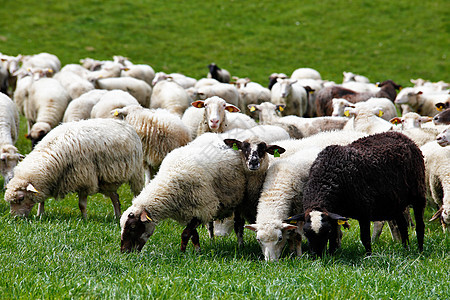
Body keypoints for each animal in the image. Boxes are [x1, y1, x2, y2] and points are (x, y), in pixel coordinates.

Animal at [4, 118, 145, 219]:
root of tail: (125, 124)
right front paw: (40, 214)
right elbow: (41, 201)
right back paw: (117, 216)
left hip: (136, 174)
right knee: (114, 197)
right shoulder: (46, 183)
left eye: (21, 198)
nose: (14, 218)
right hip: (107, 180)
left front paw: (85, 220)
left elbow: (81, 205)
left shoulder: (84, 179)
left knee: (137, 193)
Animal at [119, 132, 284, 252]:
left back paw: (240, 246)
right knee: (212, 226)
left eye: (132, 227)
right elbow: (194, 235)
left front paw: (186, 253)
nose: (124, 252)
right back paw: (212, 242)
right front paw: (196, 251)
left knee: (238, 225)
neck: (169, 183)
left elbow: (186, 233)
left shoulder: (202, 207)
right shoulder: (190, 210)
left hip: (239, 200)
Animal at [286, 131, 428, 255]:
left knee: (420, 225)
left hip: (418, 193)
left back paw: (420, 250)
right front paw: (332, 255)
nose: (317, 255)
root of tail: (402, 135)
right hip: (394, 201)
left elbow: (365, 238)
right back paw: (405, 249)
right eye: (306, 233)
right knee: (402, 225)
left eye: (326, 231)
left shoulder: (364, 211)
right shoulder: (334, 214)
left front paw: (369, 256)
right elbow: (334, 238)